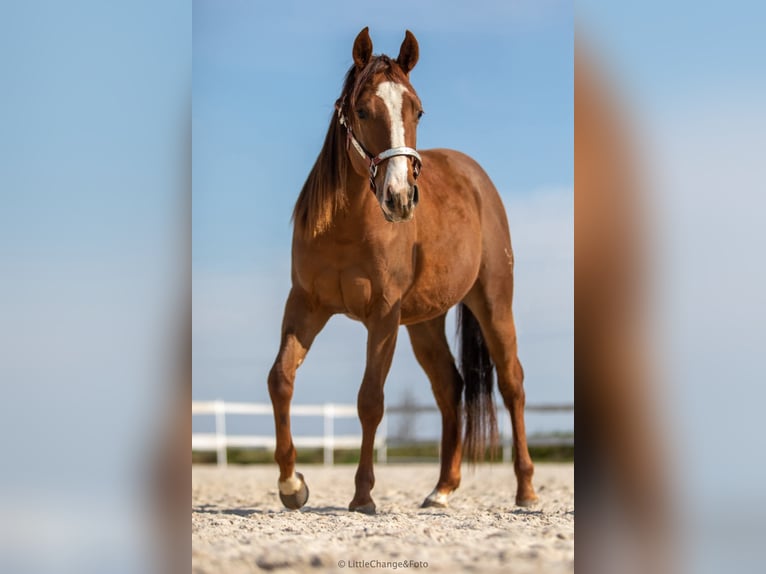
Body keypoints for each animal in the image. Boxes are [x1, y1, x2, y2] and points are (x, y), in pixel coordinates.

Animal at [267, 27, 538, 514]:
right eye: (361, 109)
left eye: (417, 109)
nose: (400, 198)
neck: (347, 227)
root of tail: (477, 180)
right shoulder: (305, 306)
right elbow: (280, 379)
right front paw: (292, 485)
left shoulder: (383, 315)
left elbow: (371, 400)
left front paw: (362, 496)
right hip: (425, 322)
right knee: (450, 388)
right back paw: (442, 489)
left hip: (493, 303)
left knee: (512, 385)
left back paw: (526, 491)